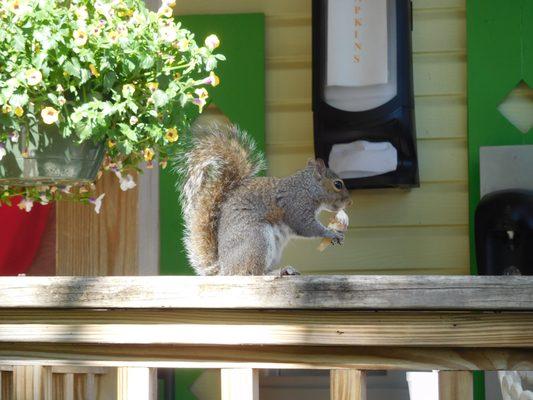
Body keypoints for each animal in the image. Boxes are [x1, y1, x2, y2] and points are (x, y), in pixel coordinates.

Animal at [179, 124, 354, 276]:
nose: (349, 202)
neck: (307, 188)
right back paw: (277, 272)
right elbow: (306, 226)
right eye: (338, 184)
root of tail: (225, 270)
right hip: (257, 238)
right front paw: (331, 233)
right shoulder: (296, 205)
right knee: (253, 272)